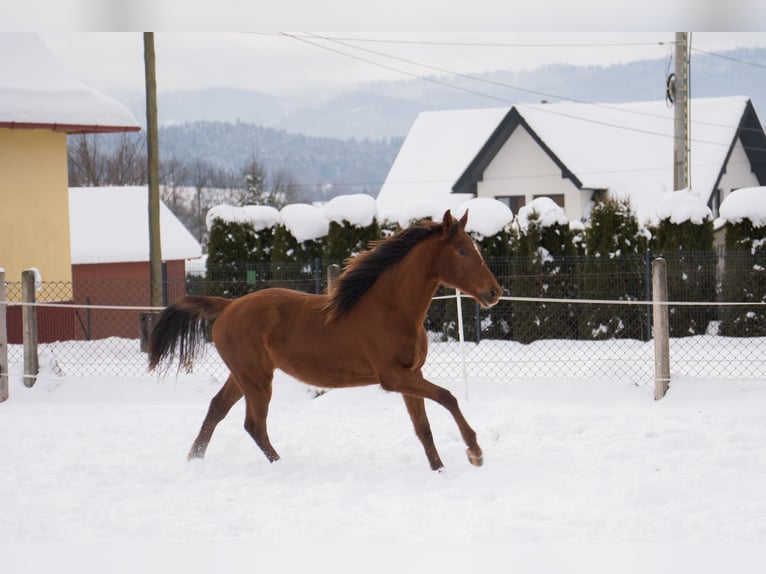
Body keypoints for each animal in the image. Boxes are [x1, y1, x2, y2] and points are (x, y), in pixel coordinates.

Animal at [148, 210, 502, 471]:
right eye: (462, 250)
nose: (494, 292)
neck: (390, 308)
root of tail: (227, 306)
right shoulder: (393, 377)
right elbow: (447, 397)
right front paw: (475, 452)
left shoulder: (411, 374)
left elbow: (423, 428)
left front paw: (439, 469)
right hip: (256, 380)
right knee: (253, 425)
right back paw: (280, 466)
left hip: (243, 376)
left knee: (216, 410)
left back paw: (193, 460)